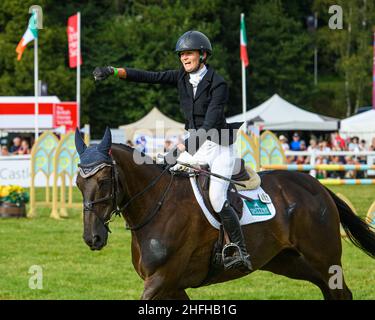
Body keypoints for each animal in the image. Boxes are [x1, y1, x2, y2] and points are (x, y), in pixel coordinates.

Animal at [76, 129, 375, 298]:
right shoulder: (173, 286)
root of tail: (317, 186)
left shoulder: (161, 280)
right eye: (79, 183)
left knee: (339, 292)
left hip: (324, 258)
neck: (156, 205)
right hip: (286, 261)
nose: (93, 238)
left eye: (103, 181)